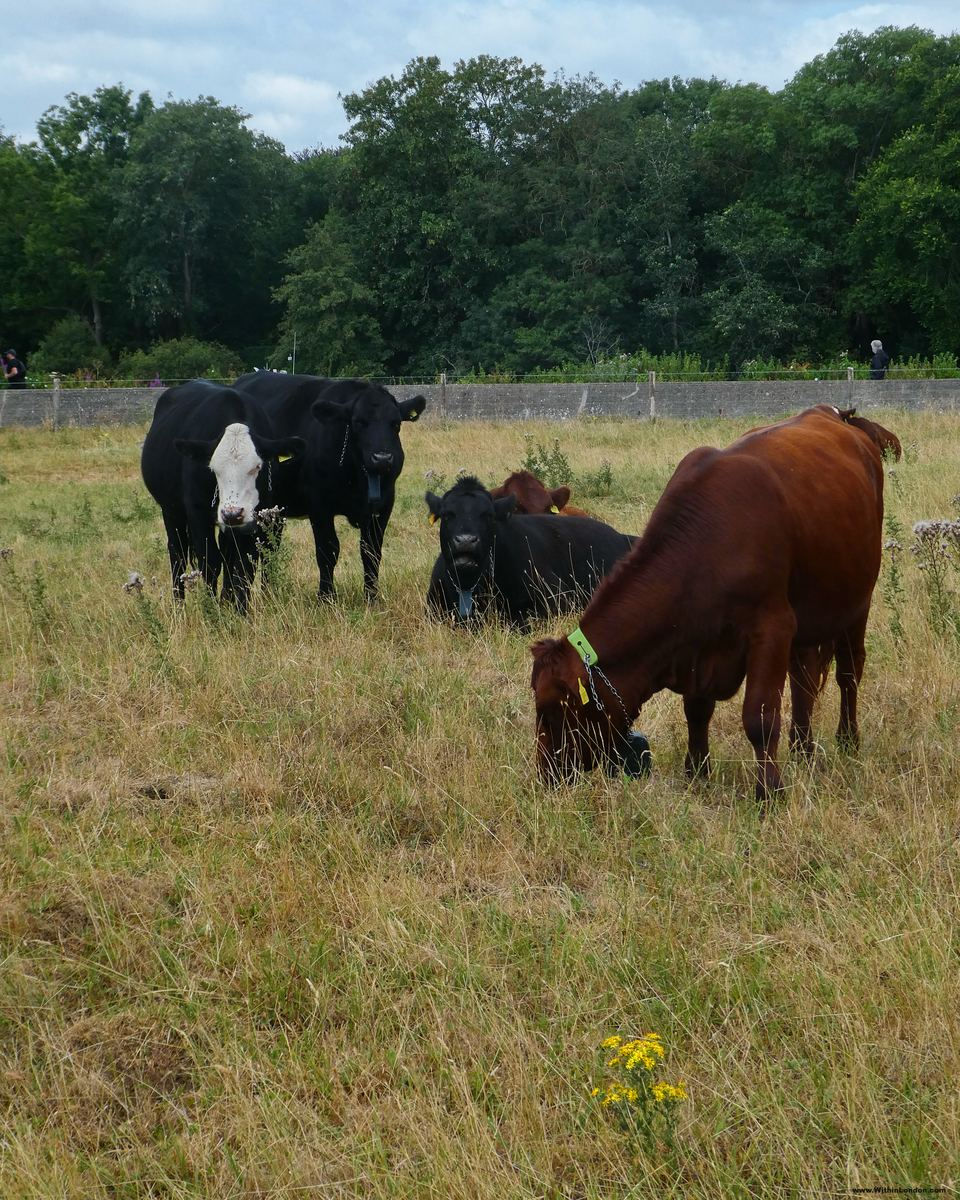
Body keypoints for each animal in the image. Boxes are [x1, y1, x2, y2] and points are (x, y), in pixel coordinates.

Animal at [141, 380, 305, 612]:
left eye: (257, 467)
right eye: (213, 469)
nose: (232, 513)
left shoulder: (254, 518)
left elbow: (243, 565)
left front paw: (241, 612)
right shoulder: (198, 514)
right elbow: (209, 562)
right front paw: (212, 612)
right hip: (171, 511)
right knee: (177, 553)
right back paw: (179, 607)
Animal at [232, 372, 426, 601]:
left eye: (395, 424)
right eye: (358, 422)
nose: (382, 458)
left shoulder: (384, 506)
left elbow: (371, 552)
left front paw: (372, 597)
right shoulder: (319, 505)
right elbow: (328, 550)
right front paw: (326, 596)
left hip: (275, 511)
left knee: (270, 546)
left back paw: (269, 592)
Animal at [530, 405, 888, 806]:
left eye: (552, 708)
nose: (546, 775)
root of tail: (833, 414)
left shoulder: (772, 628)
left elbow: (760, 717)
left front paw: (769, 792)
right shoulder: (696, 648)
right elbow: (697, 710)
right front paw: (697, 773)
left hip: (857, 600)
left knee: (849, 672)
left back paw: (847, 741)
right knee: (804, 681)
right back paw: (803, 750)